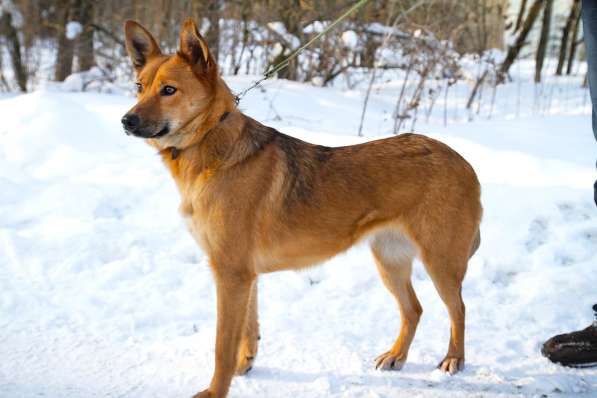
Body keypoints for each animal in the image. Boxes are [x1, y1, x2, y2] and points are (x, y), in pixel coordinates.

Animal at [123, 18, 482, 398]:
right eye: (139, 87)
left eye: (169, 90)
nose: (126, 121)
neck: (211, 144)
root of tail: (462, 161)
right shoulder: (244, 275)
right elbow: (248, 329)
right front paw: (244, 365)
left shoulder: (230, 272)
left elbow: (222, 345)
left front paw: (216, 390)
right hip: (390, 260)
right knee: (413, 309)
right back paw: (396, 355)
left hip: (440, 262)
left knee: (458, 308)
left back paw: (453, 360)